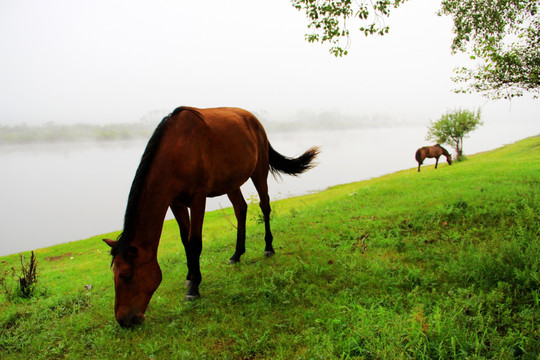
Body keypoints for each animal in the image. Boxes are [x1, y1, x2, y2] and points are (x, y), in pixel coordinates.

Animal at [103, 106, 318, 326]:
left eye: (127, 275)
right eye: (114, 275)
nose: (123, 320)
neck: (177, 151)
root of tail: (254, 119)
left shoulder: (198, 199)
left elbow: (195, 242)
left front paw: (194, 288)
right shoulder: (175, 203)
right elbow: (185, 240)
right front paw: (190, 275)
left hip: (259, 172)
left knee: (264, 206)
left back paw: (268, 247)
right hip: (232, 181)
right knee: (240, 209)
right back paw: (237, 254)